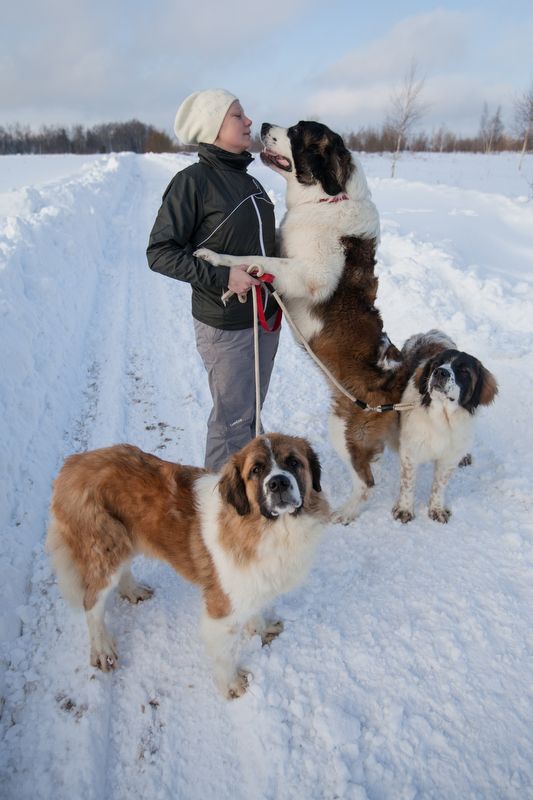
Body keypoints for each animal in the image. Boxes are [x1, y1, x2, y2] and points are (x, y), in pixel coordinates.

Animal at [45, 434, 328, 696]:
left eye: (293, 462)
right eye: (256, 470)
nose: (278, 482)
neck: (271, 527)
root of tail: (73, 463)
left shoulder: (251, 584)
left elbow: (254, 610)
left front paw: (261, 629)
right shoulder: (220, 609)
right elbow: (224, 654)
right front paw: (232, 685)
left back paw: (133, 591)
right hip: (105, 552)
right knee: (91, 602)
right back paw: (102, 648)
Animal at [193, 117, 410, 520]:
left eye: (296, 133)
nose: (262, 123)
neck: (326, 199)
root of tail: (399, 382)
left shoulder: (309, 275)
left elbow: (255, 258)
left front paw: (217, 258)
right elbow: (262, 260)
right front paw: (235, 290)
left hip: (343, 428)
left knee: (366, 482)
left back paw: (345, 513)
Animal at [390, 332, 498, 524]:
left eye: (464, 371)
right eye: (436, 364)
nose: (440, 371)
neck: (442, 418)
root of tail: (427, 333)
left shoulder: (449, 458)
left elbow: (439, 485)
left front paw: (436, 509)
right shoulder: (410, 452)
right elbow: (408, 483)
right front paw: (404, 509)